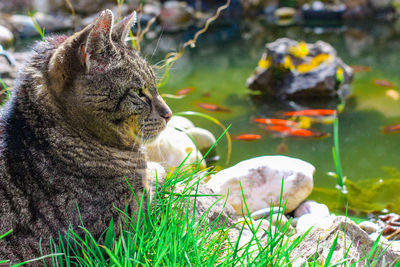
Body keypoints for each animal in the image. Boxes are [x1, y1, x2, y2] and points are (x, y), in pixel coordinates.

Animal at [0, 9, 172, 264]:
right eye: (139, 93)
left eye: (155, 87)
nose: (169, 114)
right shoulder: (115, 237)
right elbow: (154, 182)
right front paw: (157, 171)